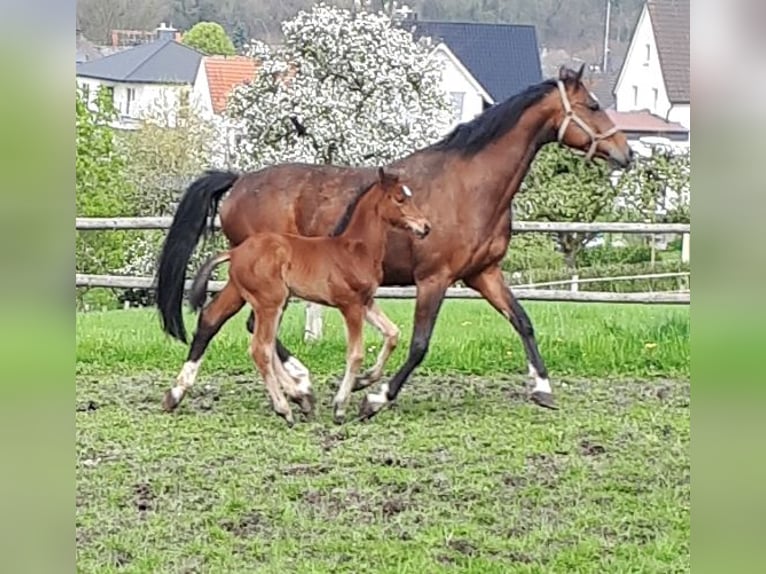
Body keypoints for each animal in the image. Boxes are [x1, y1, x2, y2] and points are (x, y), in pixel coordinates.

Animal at [162, 167, 431, 424]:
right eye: (399, 199)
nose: (426, 227)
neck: (354, 249)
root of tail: (235, 252)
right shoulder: (350, 305)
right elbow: (356, 354)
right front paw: (340, 407)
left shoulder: (367, 302)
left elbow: (392, 334)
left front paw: (364, 382)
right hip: (271, 302)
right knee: (260, 348)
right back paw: (287, 407)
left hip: (248, 295)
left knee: (221, 323)